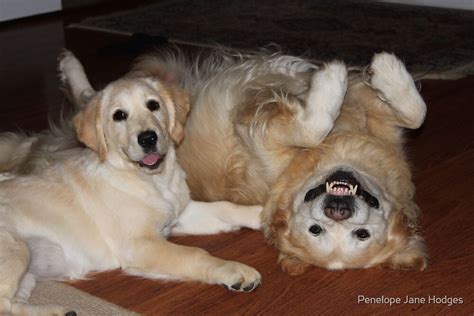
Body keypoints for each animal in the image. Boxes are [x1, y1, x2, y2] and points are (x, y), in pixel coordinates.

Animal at [0, 50, 262, 314]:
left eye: (153, 105)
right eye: (119, 115)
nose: (148, 138)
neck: (153, 181)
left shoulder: (180, 214)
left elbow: (225, 207)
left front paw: (262, 215)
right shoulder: (139, 245)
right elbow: (195, 254)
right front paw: (234, 269)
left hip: (30, 269)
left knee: (13, 305)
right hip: (16, 249)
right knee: (4, 303)